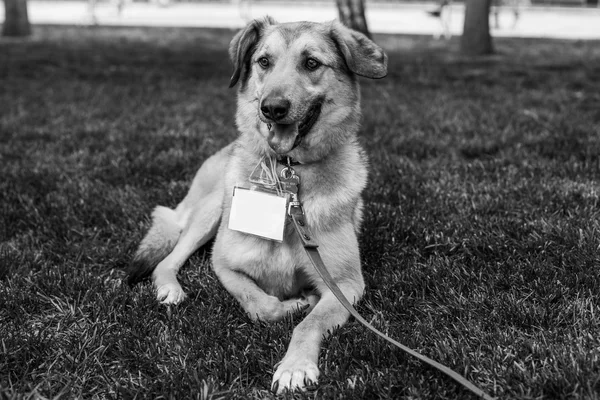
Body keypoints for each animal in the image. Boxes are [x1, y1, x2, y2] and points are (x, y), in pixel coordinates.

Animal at [127, 17, 390, 392]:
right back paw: (169, 287)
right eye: (264, 61)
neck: (287, 177)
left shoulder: (347, 284)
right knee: (168, 259)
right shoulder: (223, 264)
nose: (273, 108)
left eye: (311, 62)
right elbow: (261, 304)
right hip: (211, 210)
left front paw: (295, 365)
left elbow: (310, 322)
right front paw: (294, 305)